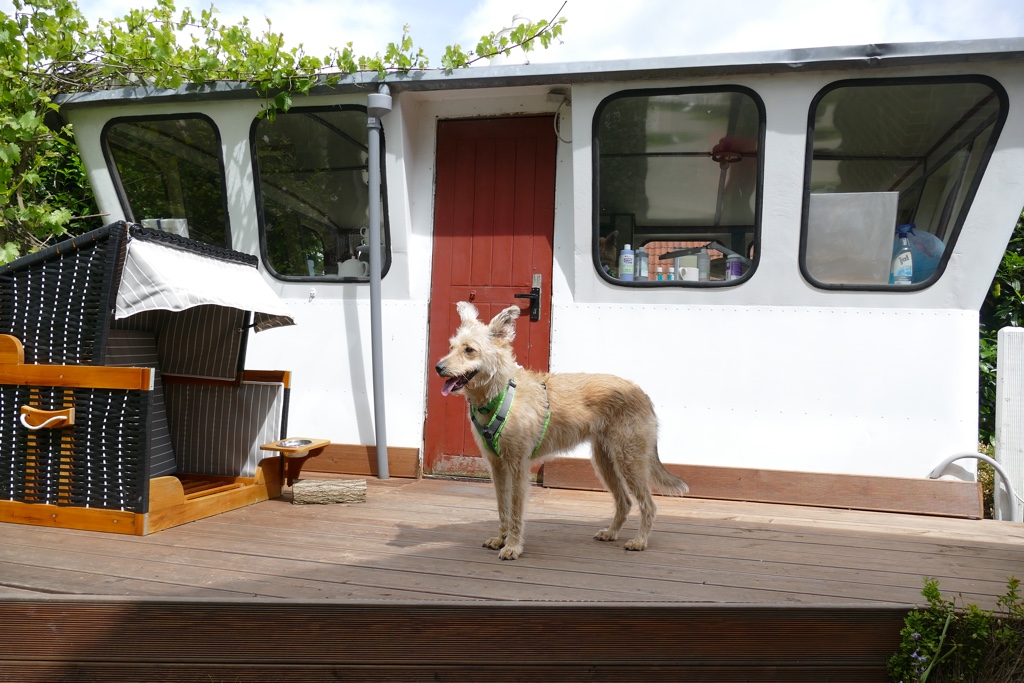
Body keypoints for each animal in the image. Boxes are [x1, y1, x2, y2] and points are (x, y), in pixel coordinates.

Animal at [435, 301, 688, 560]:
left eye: (469, 350)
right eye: (452, 347)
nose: (438, 367)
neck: (499, 394)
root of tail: (642, 393)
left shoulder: (517, 465)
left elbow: (515, 510)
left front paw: (513, 546)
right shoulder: (496, 465)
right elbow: (502, 506)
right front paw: (500, 539)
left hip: (630, 460)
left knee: (648, 504)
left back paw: (639, 541)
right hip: (604, 461)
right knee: (624, 501)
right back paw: (610, 533)